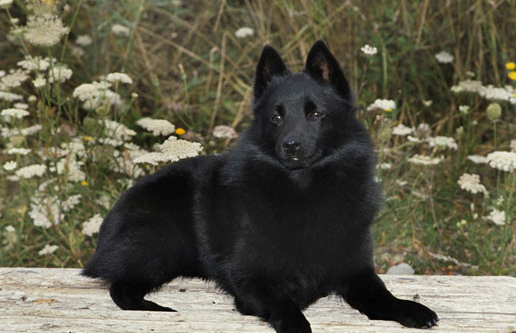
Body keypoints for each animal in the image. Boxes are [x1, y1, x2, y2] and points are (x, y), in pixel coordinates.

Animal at [82, 40, 438, 330]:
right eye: (276, 117)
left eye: (315, 114)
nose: (291, 146)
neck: (304, 191)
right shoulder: (251, 281)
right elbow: (288, 308)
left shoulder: (357, 272)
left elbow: (384, 297)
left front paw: (413, 310)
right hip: (162, 241)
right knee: (120, 287)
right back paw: (153, 308)